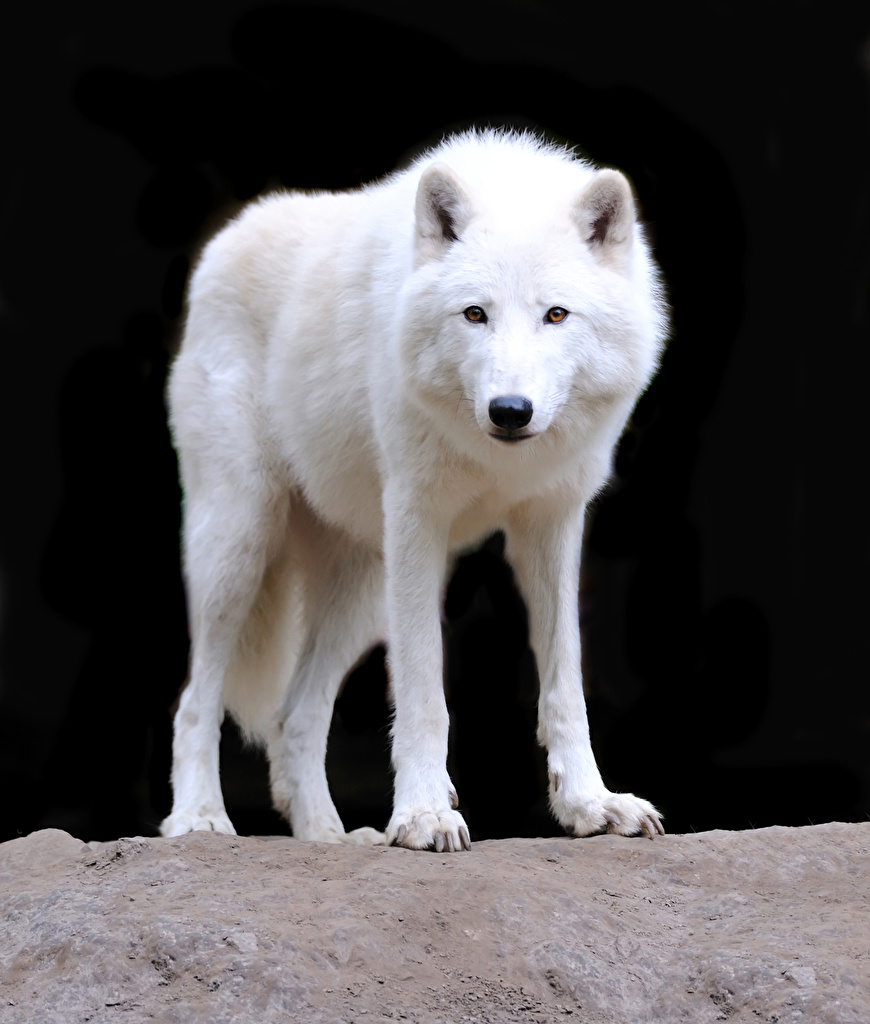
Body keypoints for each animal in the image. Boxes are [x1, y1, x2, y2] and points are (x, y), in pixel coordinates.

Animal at [161, 130, 668, 851]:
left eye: (556, 314)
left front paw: (590, 804)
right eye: (475, 314)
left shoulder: (552, 524)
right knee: (195, 700)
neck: (496, 461)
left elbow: (565, 684)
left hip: (361, 592)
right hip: (239, 546)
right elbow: (425, 692)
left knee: (294, 716)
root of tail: (228, 236)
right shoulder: (417, 525)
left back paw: (330, 839)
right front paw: (425, 815)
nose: (509, 411)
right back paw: (200, 818)